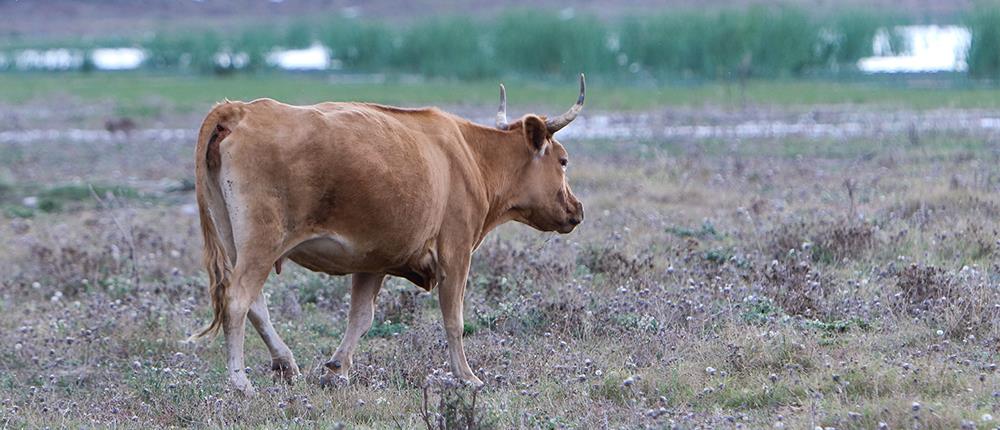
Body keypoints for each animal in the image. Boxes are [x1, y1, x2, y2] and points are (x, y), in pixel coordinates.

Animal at [189, 74, 584, 394]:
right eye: (563, 160)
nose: (576, 209)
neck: (471, 156)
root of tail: (240, 110)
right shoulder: (456, 252)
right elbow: (453, 319)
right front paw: (467, 376)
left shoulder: (372, 261)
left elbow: (361, 317)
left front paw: (337, 369)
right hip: (261, 243)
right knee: (238, 300)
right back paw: (240, 382)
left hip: (235, 242)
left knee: (255, 304)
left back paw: (285, 362)